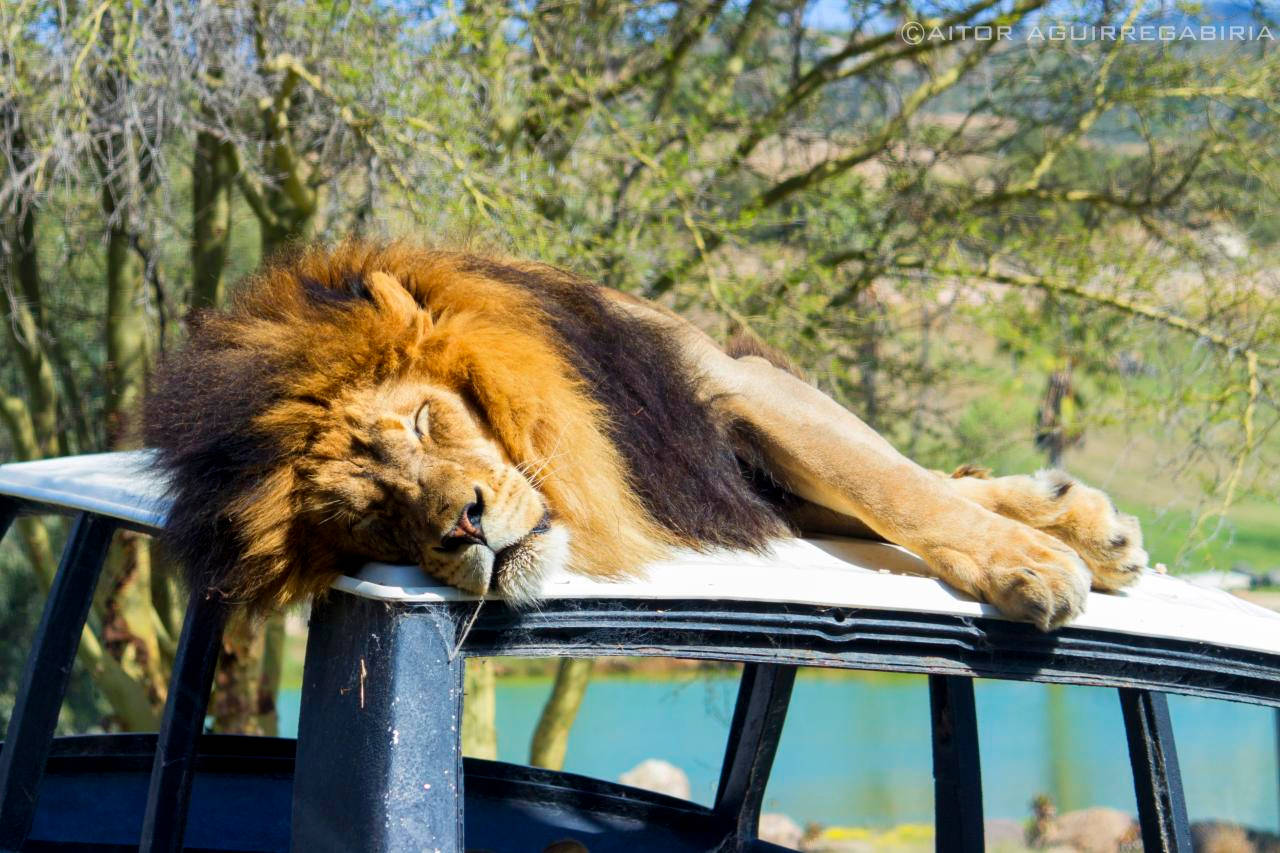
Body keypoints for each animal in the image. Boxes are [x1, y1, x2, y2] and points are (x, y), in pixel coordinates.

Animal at [143, 242, 1148, 630]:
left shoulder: (731, 388)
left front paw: (1030, 561)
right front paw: (1040, 545)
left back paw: (1083, 525)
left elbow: (898, 486)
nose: (464, 527)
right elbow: (898, 488)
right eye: (369, 518)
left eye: (426, 419)